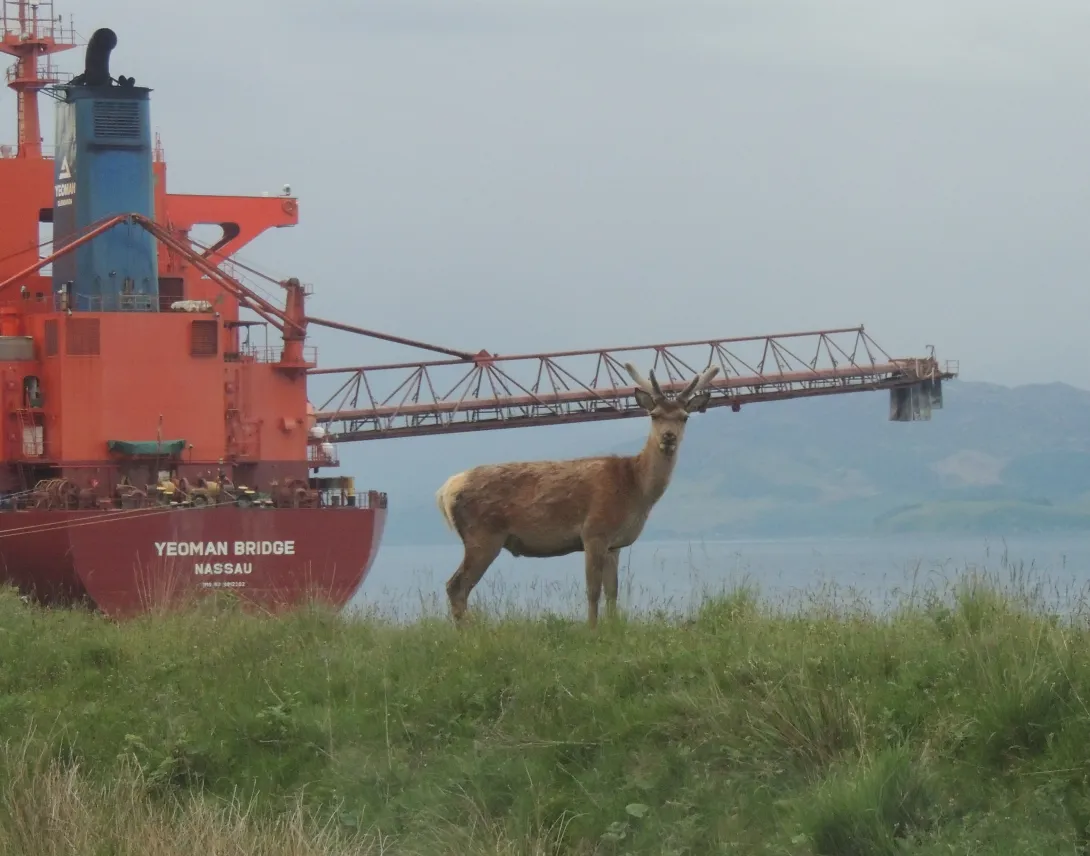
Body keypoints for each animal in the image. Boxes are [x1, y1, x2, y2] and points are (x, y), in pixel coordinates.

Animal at [433, 357, 723, 623]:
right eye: (654, 415)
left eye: (684, 417)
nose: (668, 437)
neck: (635, 489)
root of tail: (446, 490)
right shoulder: (593, 531)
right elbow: (593, 591)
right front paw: (592, 630)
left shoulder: (615, 544)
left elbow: (612, 592)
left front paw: (613, 627)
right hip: (483, 535)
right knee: (456, 586)